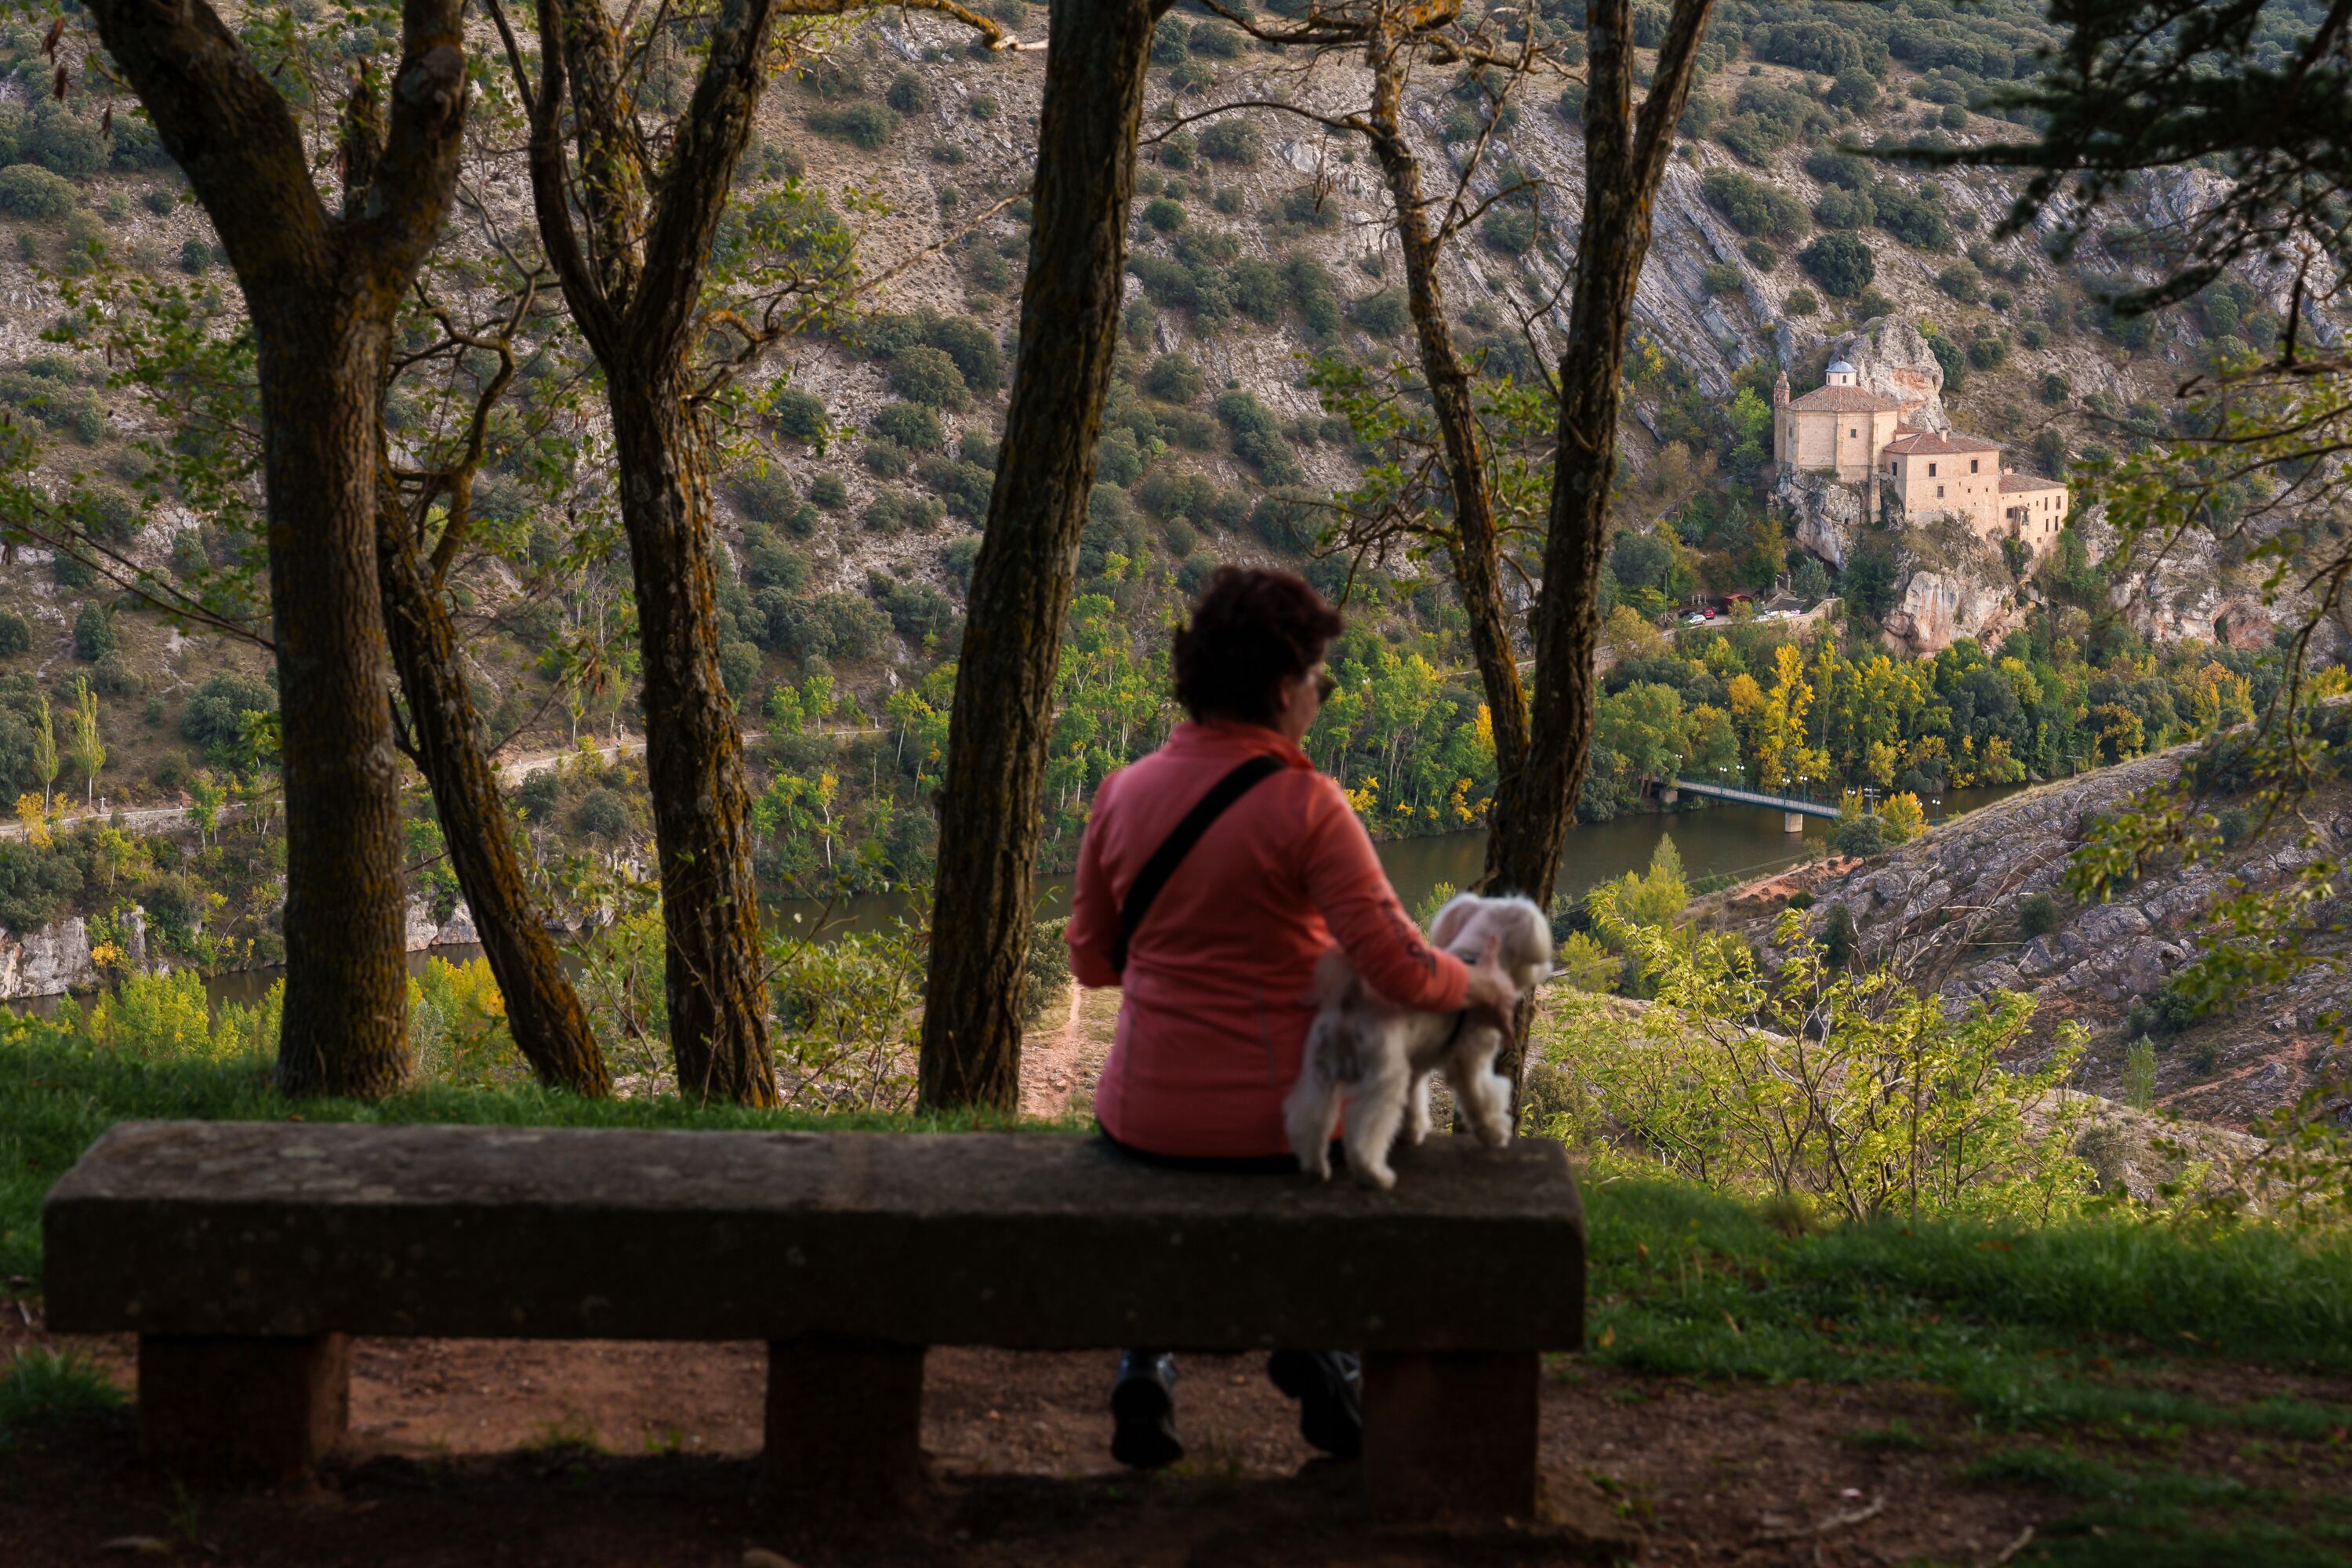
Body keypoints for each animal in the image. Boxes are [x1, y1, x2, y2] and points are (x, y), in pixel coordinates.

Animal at [1289, 893, 1543, 1189]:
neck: (1476, 958)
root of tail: (1348, 1005)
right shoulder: (1472, 1062)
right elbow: (1480, 1098)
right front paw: (1493, 1133)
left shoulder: (1417, 1068)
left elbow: (1413, 1102)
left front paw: (1411, 1132)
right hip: (1382, 1078)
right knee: (1365, 1130)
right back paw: (1375, 1174)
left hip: (1320, 1073)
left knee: (1310, 1118)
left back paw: (1315, 1166)